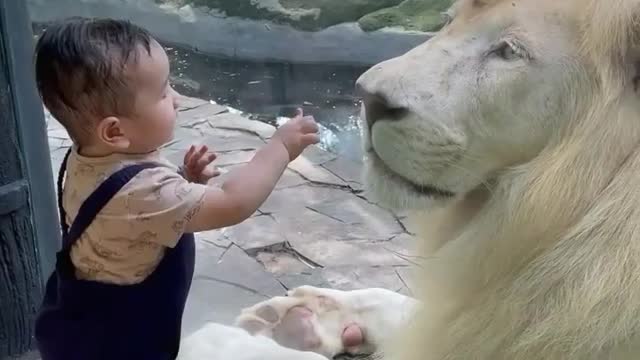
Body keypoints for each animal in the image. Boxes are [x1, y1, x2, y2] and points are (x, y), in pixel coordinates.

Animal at [178, 0, 640, 358]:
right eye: (449, 19)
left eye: (509, 51)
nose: (368, 98)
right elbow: (403, 305)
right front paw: (304, 315)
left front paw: (223, 340)